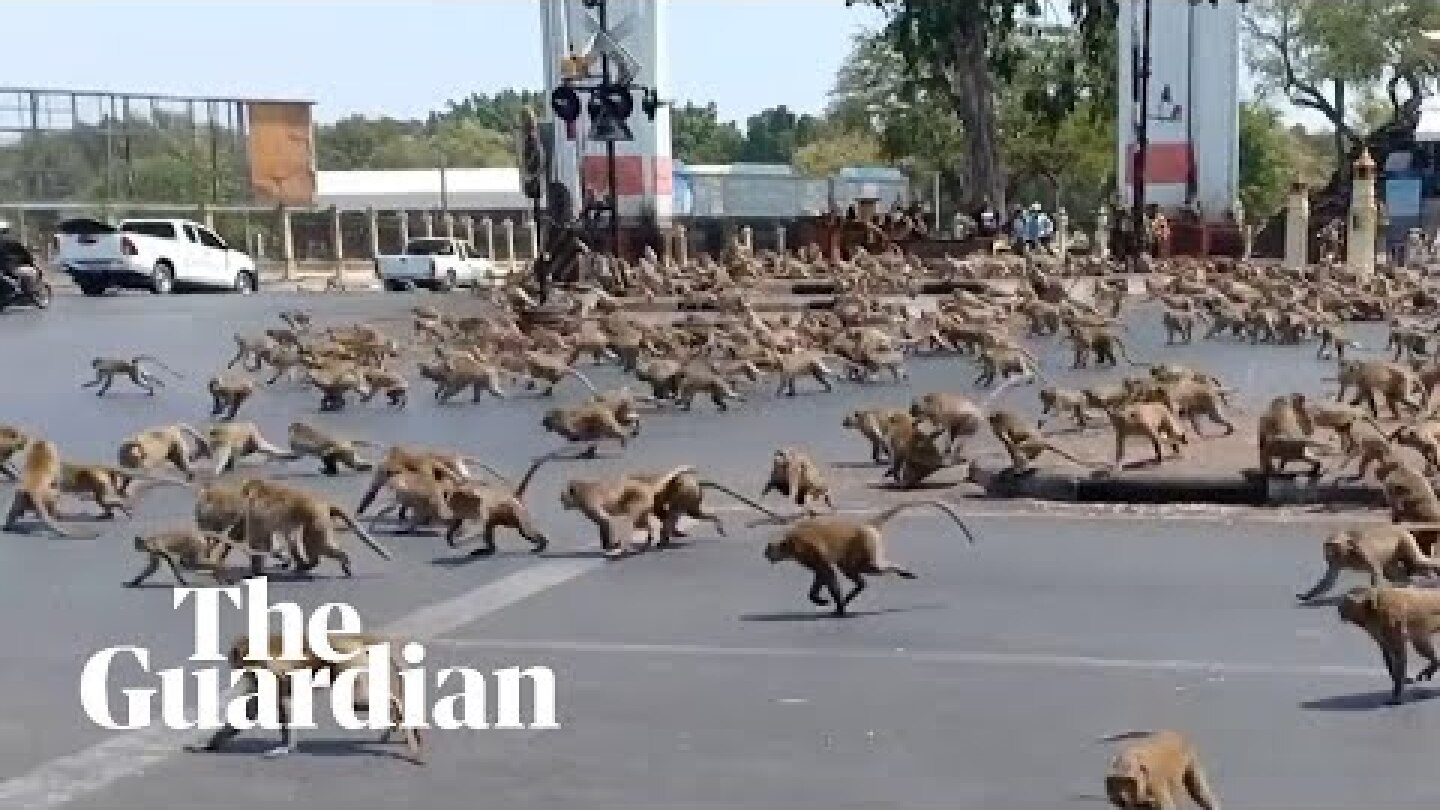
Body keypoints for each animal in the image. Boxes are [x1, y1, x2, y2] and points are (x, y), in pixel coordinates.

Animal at [185, 631, 422, 761]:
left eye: (240, 663)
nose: (243, 672)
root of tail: (350, 637)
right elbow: (254, 708)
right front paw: (208, 745)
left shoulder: (269, 667)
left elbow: (282, 702)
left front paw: (287, 747)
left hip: (349, 661)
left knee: (359, 701)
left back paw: (399, 711)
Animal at [237, 478, 392, 578]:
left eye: (244, 492)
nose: (242, 494)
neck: (257, 490)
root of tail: (324, 503)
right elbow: (275, 538)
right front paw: (282, 558)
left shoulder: (255, 514)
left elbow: (259, 542)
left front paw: (256, 569)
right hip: (320, 522)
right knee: (298, 539)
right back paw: (302, 564)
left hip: (316, 521)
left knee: (316, 544)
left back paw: (332, 560)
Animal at [759, 500, 977, 616]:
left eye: (768, 550)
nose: (766, 555)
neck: (789, 541)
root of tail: (865, 524)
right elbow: (822, 574)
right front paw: (820, 599)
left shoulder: (805, 550)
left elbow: (826, 571)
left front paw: (837, 606)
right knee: (852, 568)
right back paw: (859, 588)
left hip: (866, 543)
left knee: (871, 567)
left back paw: (899, 570)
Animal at [1297, 524, 1440, 601]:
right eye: (1327, 545)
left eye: (1332, 544)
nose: (1327, 550)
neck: (1347, 553)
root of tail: (1399, 527)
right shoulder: (1336, 561)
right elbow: (1329, 579)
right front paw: (1307, 596)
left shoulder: (1362, 551)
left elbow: (1375, 571)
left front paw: (1369, 597)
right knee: (1392, 572)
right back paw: (1406, 586)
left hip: (1403, 539)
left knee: (1418, 561)